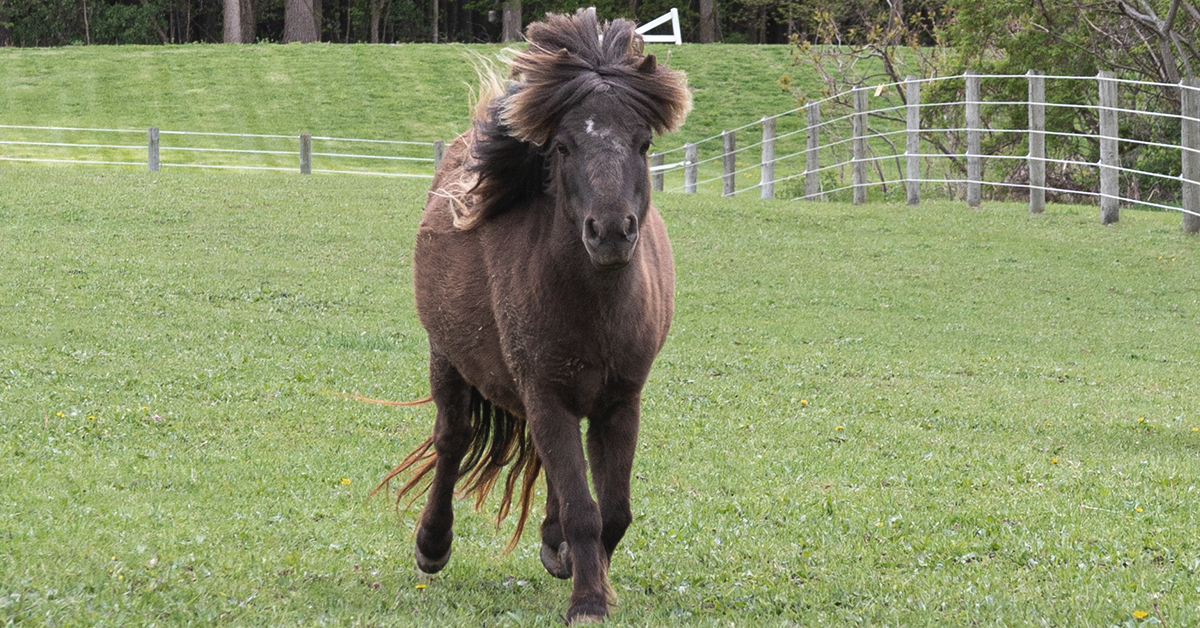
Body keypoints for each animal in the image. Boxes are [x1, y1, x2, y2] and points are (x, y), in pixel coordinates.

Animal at [376, 9, 691, 624]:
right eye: (563, 147)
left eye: (643, 143)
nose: (611, 231)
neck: (595, 307)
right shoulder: (546, 394)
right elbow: (584, 509)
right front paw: (589, 599)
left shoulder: (620, 401)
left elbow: (612, 510)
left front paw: (577, 567)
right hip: (449, 359)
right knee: (453, 439)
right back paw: (433, 544)